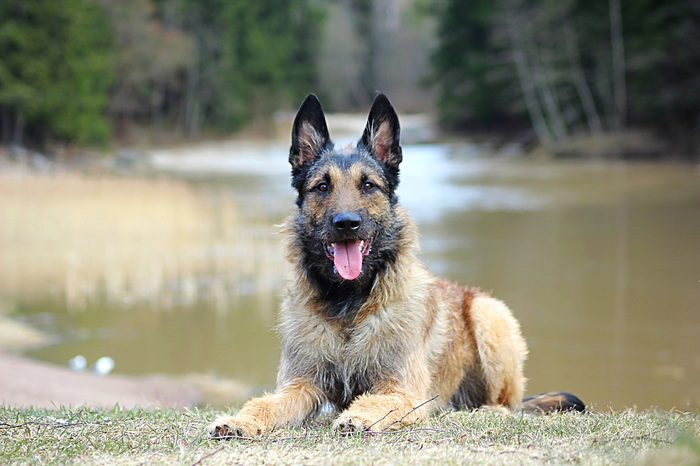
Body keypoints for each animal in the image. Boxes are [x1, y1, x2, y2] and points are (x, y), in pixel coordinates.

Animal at [209, 93, 584, 436]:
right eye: (322, 186)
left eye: (368, 185)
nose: (347, 223)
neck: (349, 301)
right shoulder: (300, 385)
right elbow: (265, 403)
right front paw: (240, 420)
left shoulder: (403, 391)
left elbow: (377, 402)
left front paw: (358, 417)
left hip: (489, 316)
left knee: (507, 404)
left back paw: (481, 411)